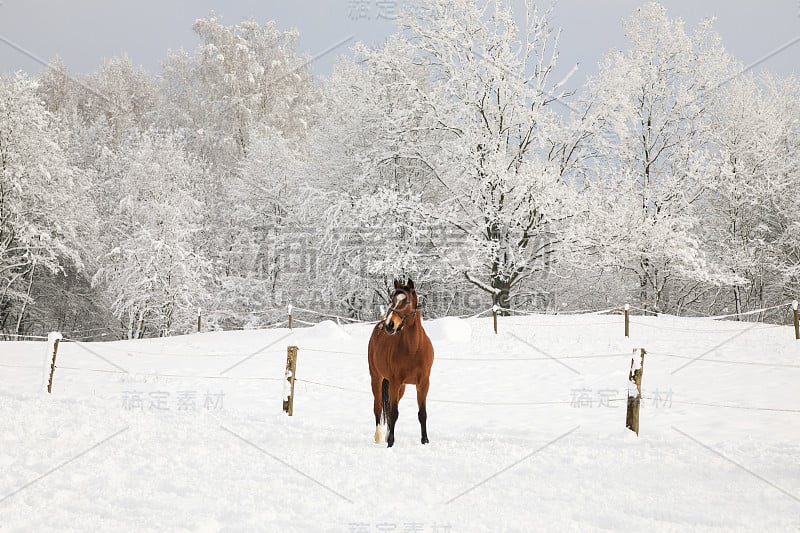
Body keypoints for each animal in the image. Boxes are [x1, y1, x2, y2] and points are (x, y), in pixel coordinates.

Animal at [368, 276, 434, 446]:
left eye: (407, 301)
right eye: (393, 300)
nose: (389, 325)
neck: (413, 349)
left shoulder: (423, 383)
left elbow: (422, 413)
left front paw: (425, 440)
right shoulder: (395, 382)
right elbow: (393, 412)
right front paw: (391, 442)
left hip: (401, 388)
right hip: (377, 379)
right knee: (378, 407)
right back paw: (378, 437)